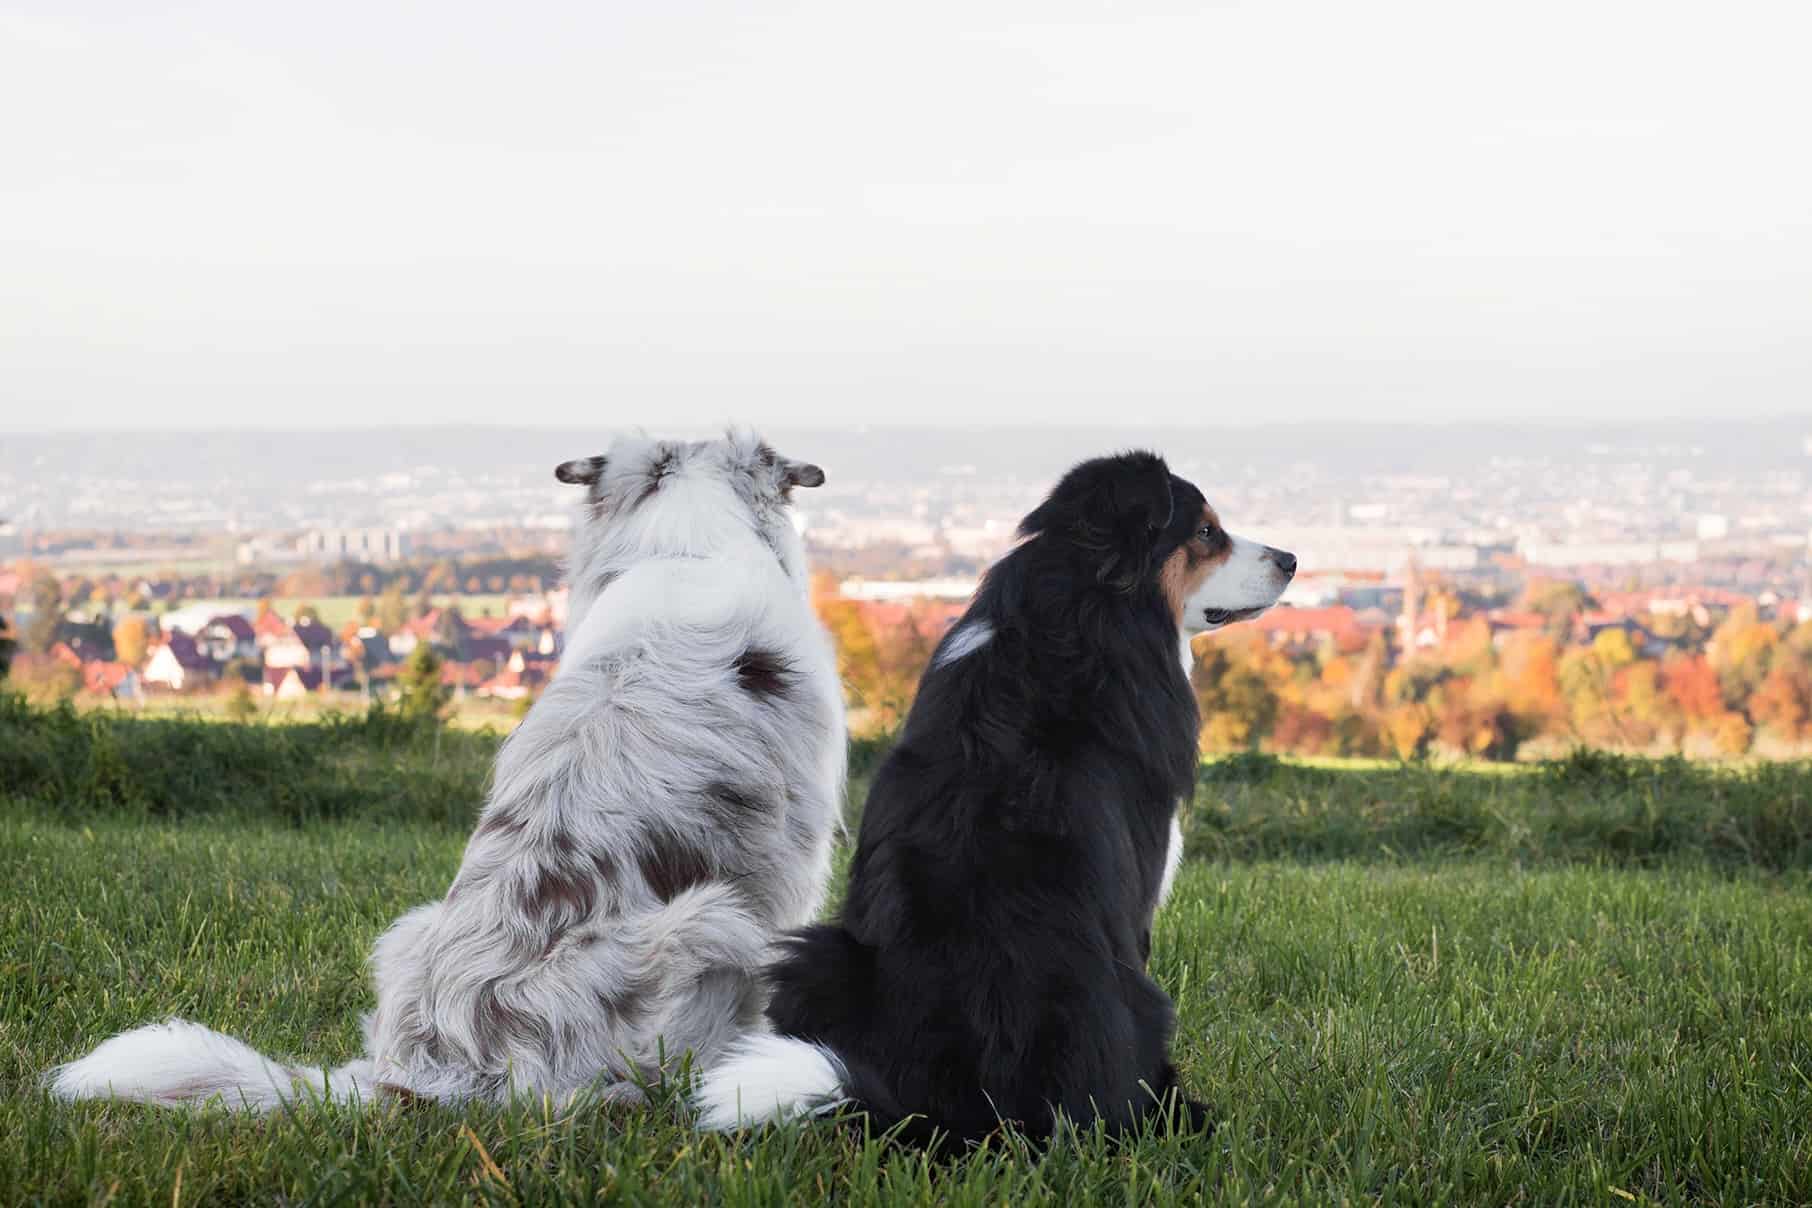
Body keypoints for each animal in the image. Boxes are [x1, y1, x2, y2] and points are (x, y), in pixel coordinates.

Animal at [699, 450, 1297, 1144]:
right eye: (1205, 532)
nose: (1291, 560)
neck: (1080, 611)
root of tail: (968, 1114)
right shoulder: (1141, 887)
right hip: (1139, 1003)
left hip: (817, 955)